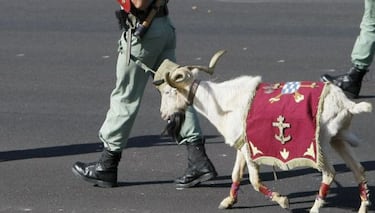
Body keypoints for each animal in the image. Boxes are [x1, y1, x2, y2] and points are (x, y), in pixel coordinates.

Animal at [153, 50, 374, 212]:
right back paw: (363, 207)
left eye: (168, 92)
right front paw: (229, 201)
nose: (163, 114)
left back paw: (315, 208)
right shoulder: (242, 145)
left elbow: (254, 181)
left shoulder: (250, 150)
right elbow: (235, 175)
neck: (223, 101)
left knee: (329, 173)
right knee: (358, 169)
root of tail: (345, 103)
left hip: (319, 144)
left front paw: (282, 200)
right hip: (338, 139)